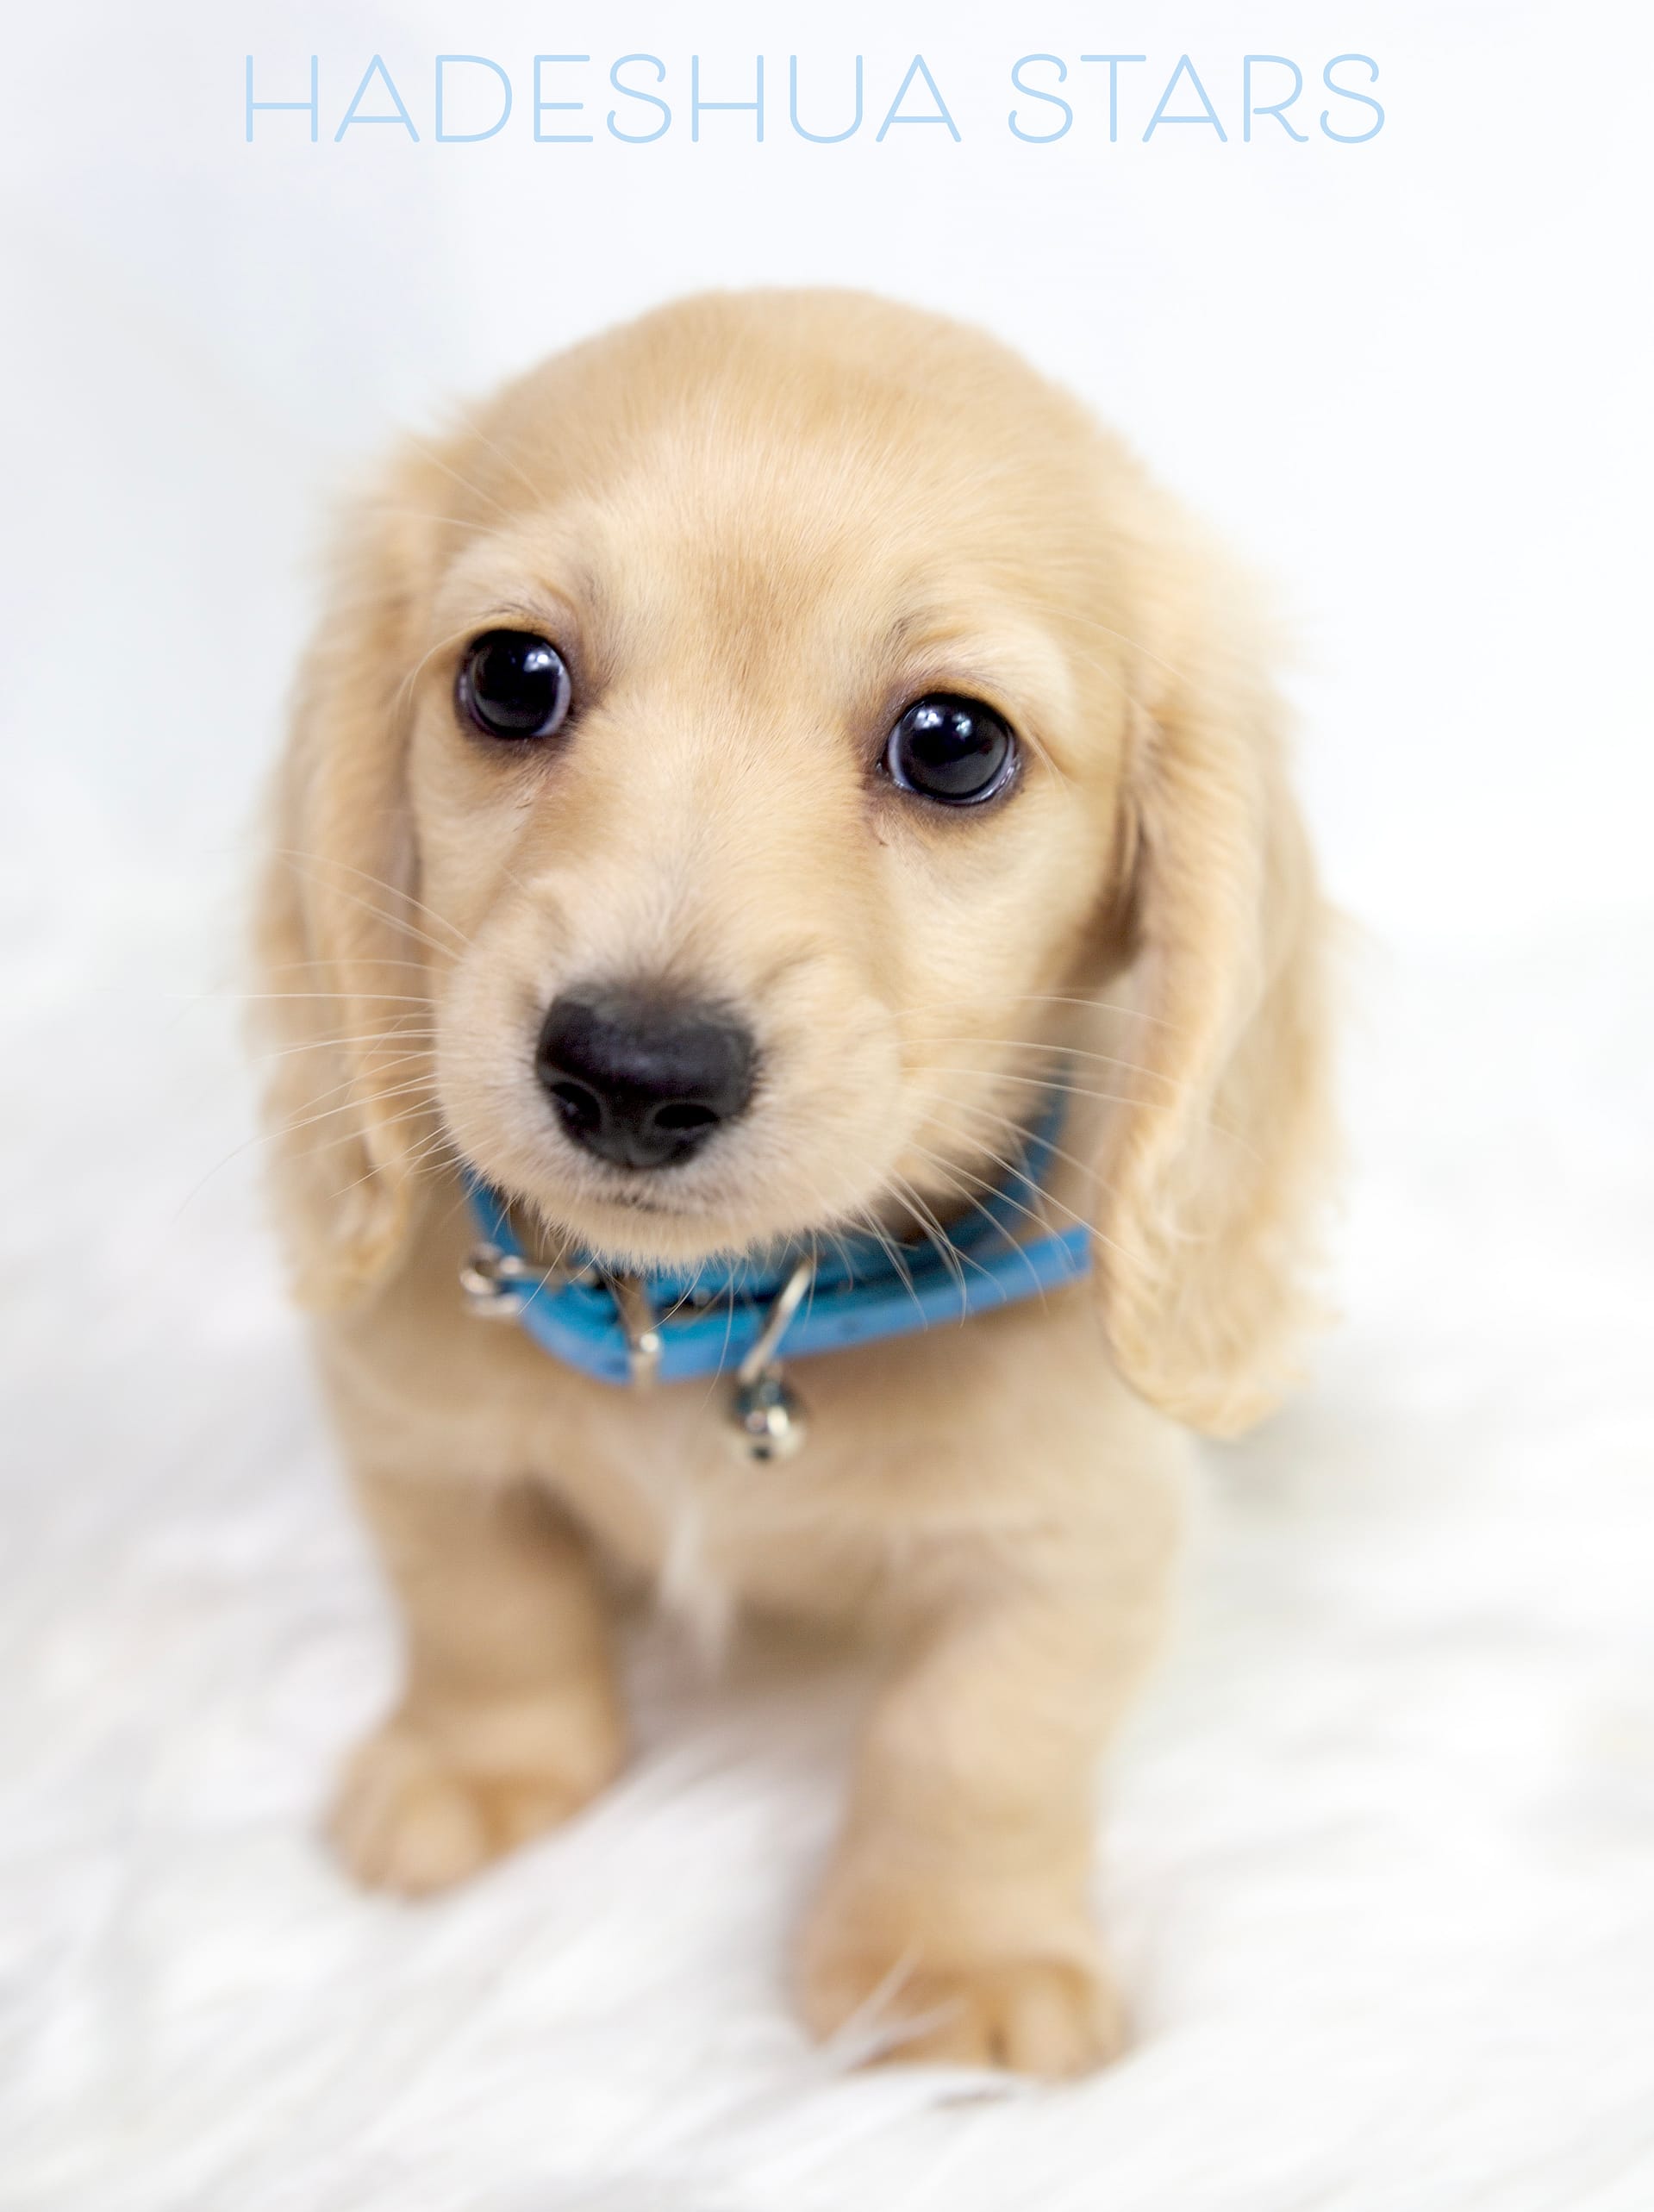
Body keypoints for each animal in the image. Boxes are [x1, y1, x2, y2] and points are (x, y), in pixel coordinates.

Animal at [253, 288, 1333, 2077]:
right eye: (510, 677)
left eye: (951, 744)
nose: (631, 1072)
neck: (703, 1323)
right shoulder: (407, 1427)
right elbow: (480, 1597)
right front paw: (481, 1767)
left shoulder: (1071, 1542)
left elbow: (971, 1741)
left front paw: (947, 1957)